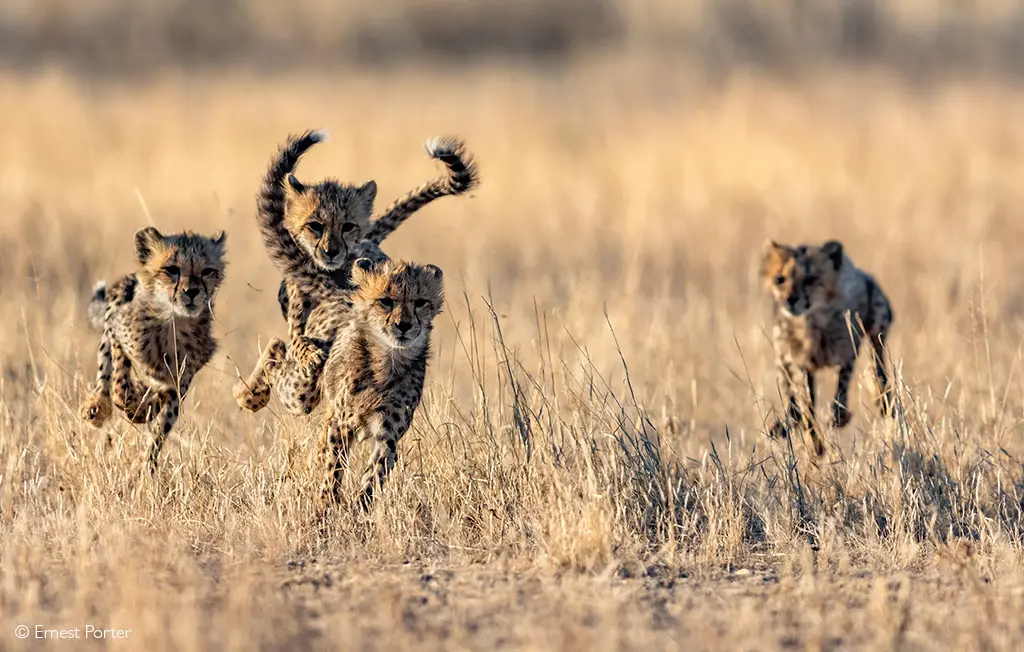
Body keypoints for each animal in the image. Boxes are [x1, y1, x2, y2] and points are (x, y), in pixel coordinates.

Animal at [79, 226, 227, 472]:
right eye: (172, 269)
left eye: (207, 271)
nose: (192, 292)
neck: (172, 320)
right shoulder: (118, 331)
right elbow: (120, 384)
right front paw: (133, 403)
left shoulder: (181, 377)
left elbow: (161, 422)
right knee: (105, 373)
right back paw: (97, 406)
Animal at [237, 257, 443, 511]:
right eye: (385, 301)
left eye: (421, 302)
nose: (403, 325)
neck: (389, 358)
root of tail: (339, 292)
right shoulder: (343, 424)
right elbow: (334, 468)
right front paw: (326, 506)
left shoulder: (388, 436)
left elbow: (373, 475)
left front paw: (360, 508)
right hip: (302, 393)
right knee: (277, 347)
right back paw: (248, 395)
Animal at [761, 239, 894, 457]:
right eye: (780, 279)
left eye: (810, 279)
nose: (790, 299)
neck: (813, 322)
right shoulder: (799, 363)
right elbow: (805, 405)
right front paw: (816, 444)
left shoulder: (849, 349)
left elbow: (843, 383)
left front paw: (838, 416)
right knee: (792, 399)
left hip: (878, 316)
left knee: (877, 357)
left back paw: (883, 395)